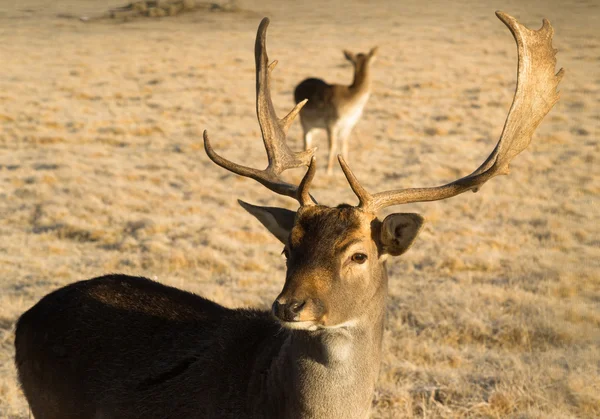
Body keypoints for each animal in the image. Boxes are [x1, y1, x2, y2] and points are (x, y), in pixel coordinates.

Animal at [294, 46, 378, 175]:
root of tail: (296, 87)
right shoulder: (331, 123)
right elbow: (332, 146)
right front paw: (328, 171)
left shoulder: (348, 125)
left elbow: (345, 145)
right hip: (304, 121)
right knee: (306, 141)